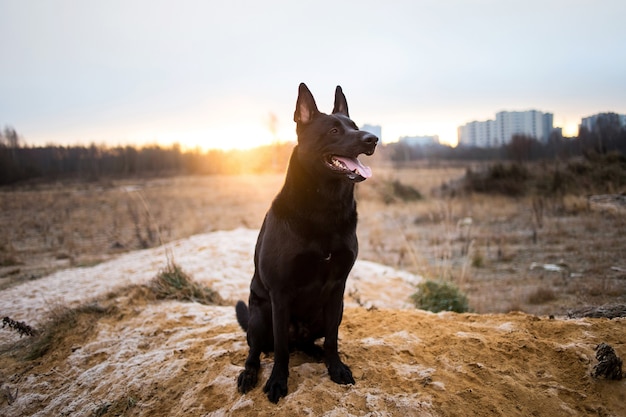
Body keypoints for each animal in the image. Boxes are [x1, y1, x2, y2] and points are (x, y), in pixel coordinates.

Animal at [234, 83, 376, 402]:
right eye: (334, 131)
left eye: (355, 126)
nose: (373, 139)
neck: (325, 207)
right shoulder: (280, 293)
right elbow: (280, 351)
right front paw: (277, 381)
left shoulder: (337, 288)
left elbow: (333, 340)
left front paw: (335, 367)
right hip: (260, 316)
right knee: (257, 350)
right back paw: (249, 374)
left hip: (332, 313)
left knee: (310, 342)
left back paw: (316, 352)